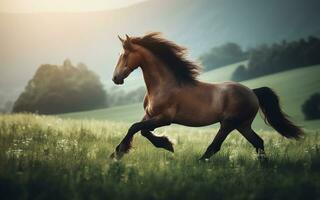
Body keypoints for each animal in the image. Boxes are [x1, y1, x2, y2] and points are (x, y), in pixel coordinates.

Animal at [110, 32, 302, 160]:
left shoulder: (165, 118)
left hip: (229, 124)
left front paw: (119, 153)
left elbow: (135, 127)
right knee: (258, 142)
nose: (115, 78)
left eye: (125, 55)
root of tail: (252, 92)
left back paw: (201, 163)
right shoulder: (150, 115)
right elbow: (141, 130)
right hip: (243, 125)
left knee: (215, 146)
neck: (164, 85)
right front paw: (163, 144)